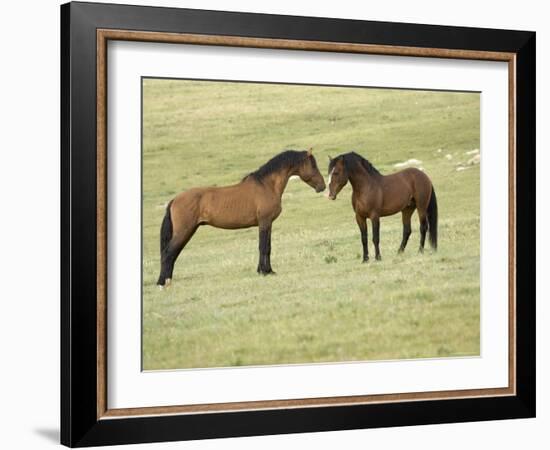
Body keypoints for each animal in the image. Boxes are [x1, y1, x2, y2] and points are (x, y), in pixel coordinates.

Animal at [157, 149, 326, 286]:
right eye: (313, 165)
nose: (322, 186)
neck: (266, 185)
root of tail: (175, 199)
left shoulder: (267, 224)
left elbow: (267, 247)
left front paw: (267, 270)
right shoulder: (264, 222)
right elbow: (264, 247)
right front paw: (265, 272)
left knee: (173, 253)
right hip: (184, 231)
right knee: (168, 252)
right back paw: (162, 282)